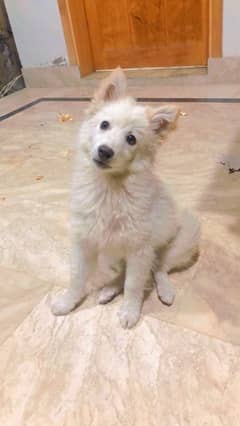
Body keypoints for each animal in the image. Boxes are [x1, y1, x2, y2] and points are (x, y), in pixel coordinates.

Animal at [51, 68, 200, 328]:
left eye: (131, 139)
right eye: (104, 124)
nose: (104, 151)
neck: (110, 188)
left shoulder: (139, 250)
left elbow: (133, 285)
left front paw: (130, 312)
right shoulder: (84, 241)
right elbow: (76, 276)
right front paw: (67, 302)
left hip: (182, 239)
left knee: (159, 269)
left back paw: (165, 290)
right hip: (111, 255)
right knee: (124, 273)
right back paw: (109, 289)